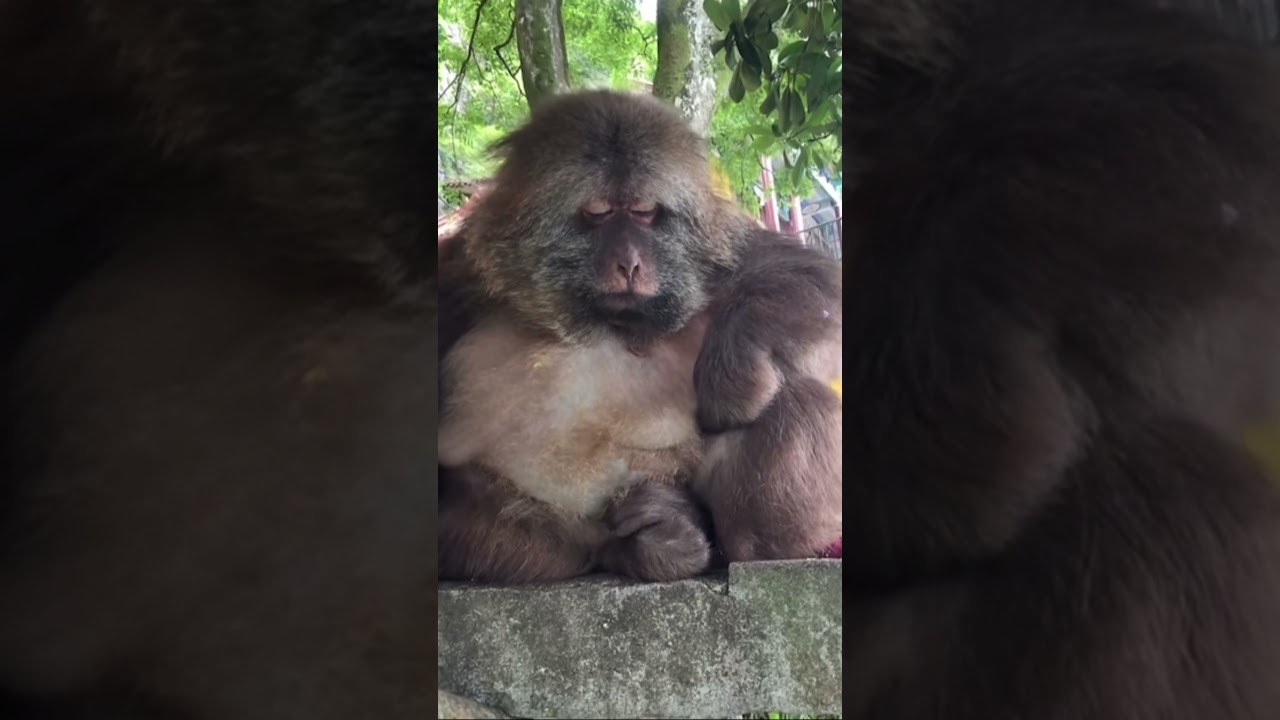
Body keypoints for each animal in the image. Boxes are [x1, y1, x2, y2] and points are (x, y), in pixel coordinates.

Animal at [436, 90, 843, 585]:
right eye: (598, 213)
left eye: (646, 213)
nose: (629, 263)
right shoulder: (466, 265)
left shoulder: (716, 247)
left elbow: (810, 279)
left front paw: (732, 376)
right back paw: (648, 543)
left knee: (795, 395)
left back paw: (744, 540)